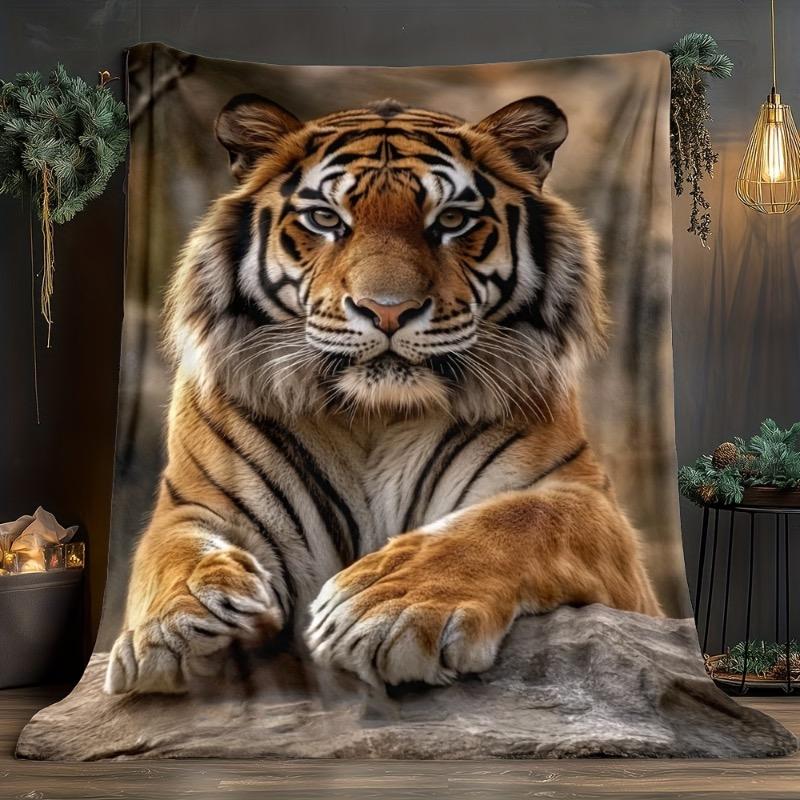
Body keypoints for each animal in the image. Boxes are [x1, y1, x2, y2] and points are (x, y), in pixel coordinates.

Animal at [104, 93, 662, 695]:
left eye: (451, 220)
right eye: (326, 218)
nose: (387, 310)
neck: (376, 415)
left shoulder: (590, 506)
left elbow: (517, 521)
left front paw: (386, 609)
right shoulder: (194, 504)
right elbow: (174, 552)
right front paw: (179, 623)